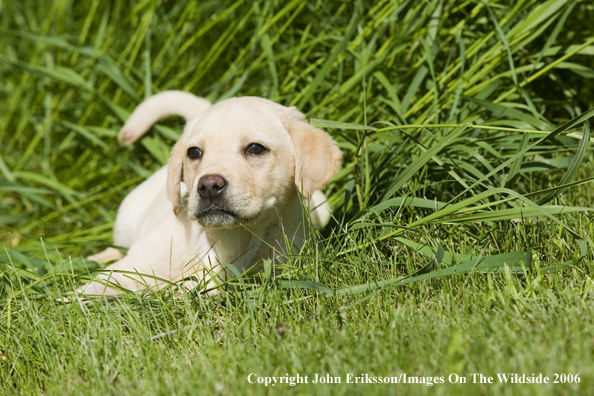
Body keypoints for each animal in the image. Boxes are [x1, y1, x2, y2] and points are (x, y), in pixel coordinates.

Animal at [78, 91, 340, 296]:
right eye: (194, 152)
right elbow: (88, 292)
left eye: (255, 148)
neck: (227, 238)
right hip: (126, 221)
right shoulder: (133, 267)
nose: (209, 186)